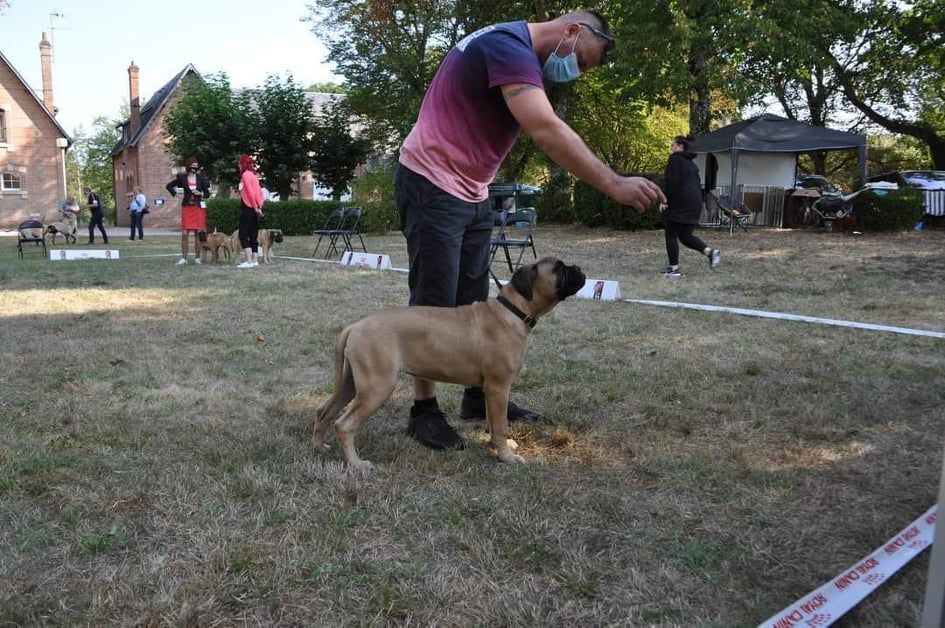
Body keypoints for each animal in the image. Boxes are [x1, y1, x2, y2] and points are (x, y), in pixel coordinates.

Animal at [314, 256, 588, 472]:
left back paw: (319, 447)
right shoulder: (499, 387)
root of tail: (355, 326)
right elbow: (500, 425)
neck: (513, 310)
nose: (579, 268)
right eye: (559, 269)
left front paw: (497, 447)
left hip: (351, 384)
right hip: (376, 387)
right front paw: (507, 457)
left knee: (324, 412)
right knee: (344, 424)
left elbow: (492, 421)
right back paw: (356, 464)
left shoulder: (491, 390)